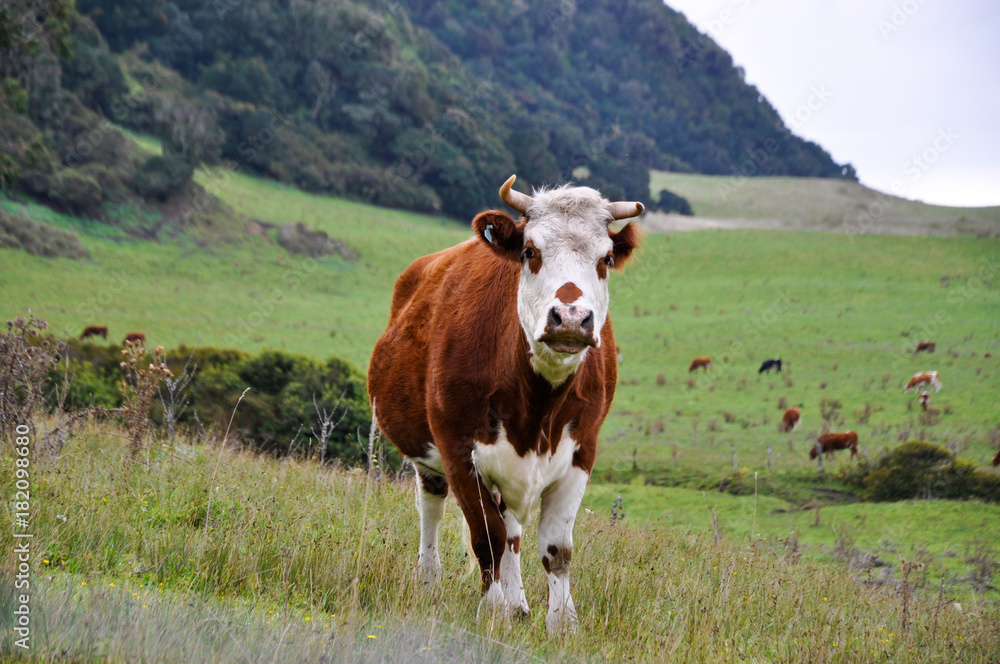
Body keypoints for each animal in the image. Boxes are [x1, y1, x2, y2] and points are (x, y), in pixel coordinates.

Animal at [368, 174, 640, 636]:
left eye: (605, 258)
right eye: (530, 251)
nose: (571, 318)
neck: (537, 405)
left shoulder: (581, 451)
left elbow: (556, 548)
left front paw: (561, 624)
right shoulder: (458, 449)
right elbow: (487, 538)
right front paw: (492, 610)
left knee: (511, 528)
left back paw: (518, 604)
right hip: (429, 455)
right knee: (433, 506)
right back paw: (430, 581)